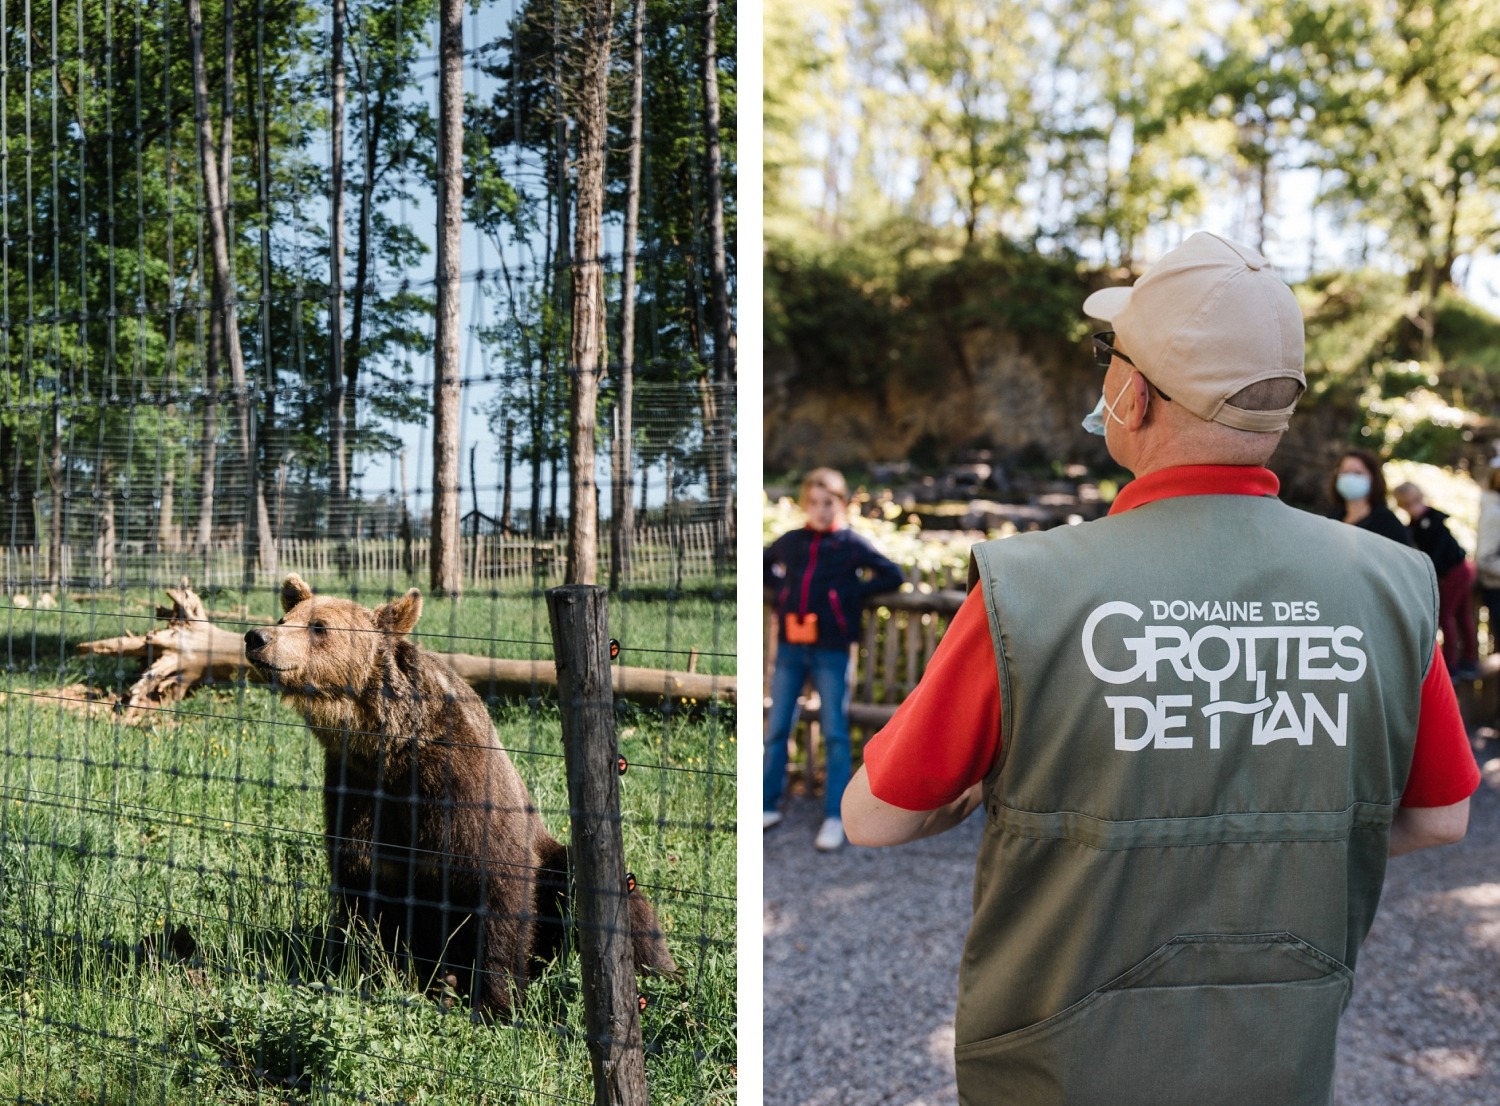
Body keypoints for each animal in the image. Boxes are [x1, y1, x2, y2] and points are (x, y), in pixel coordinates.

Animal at [243, 573, 678, 1014]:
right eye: (285, 617)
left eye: (320, 627)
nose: (256, 637)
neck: (390, 744)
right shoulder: (360, 788)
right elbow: (365, 879)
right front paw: (369, 969)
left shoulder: (459, 784)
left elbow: (496, 882)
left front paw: (495, 1000)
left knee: (600, 890)